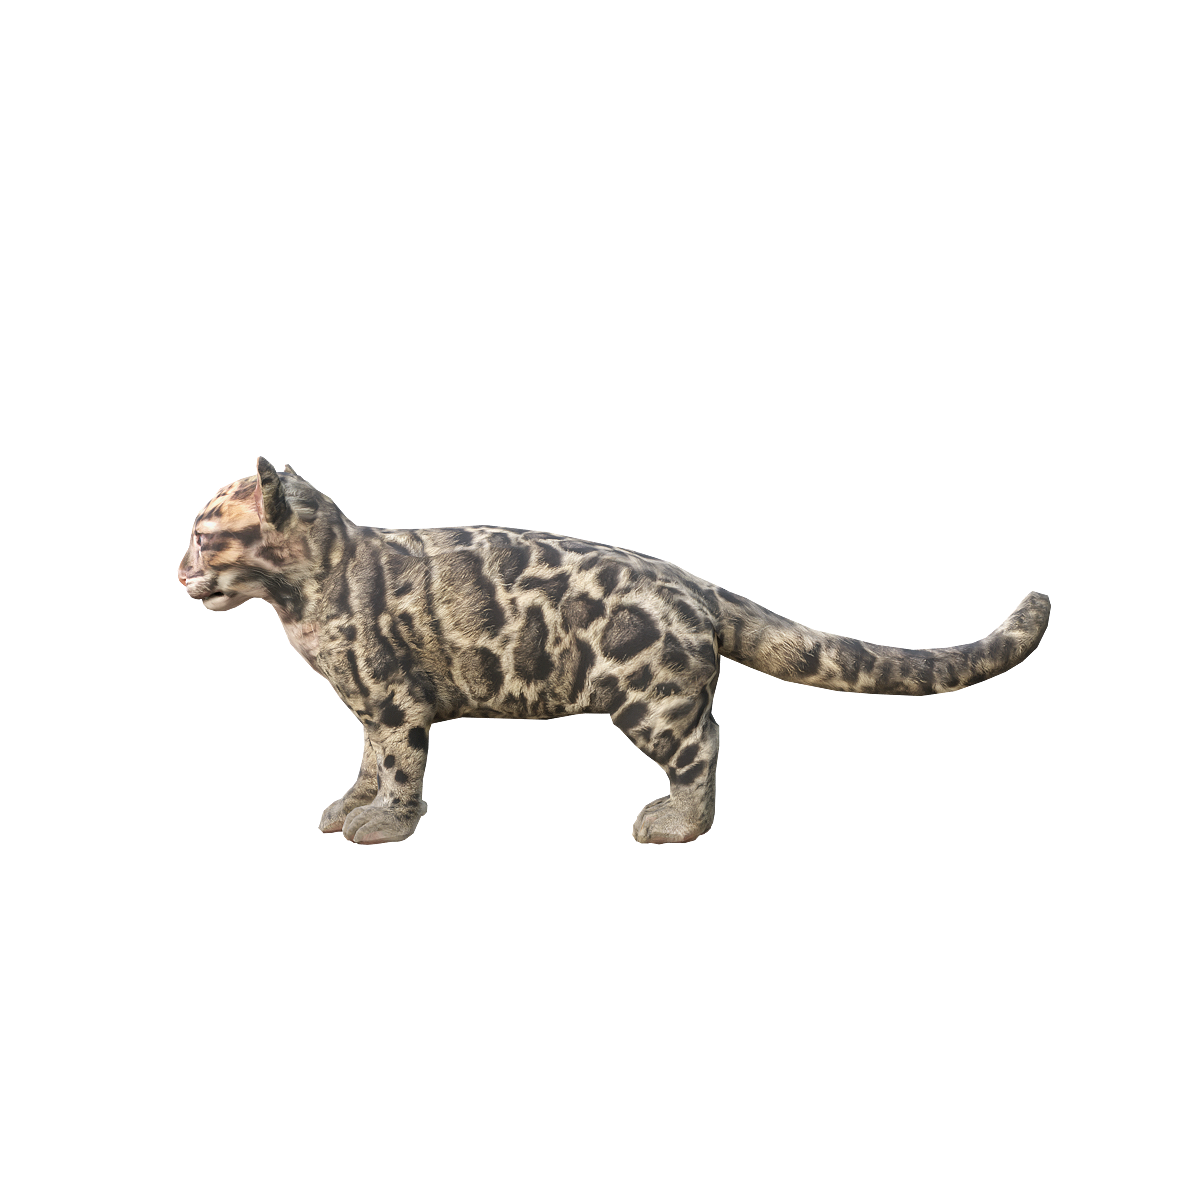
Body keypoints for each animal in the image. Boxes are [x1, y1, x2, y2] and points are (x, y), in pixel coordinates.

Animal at [179, 458, 1052, 844]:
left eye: (204, 533)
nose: (181, 565)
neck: (307, 585)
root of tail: (697, 586)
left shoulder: (395, 698)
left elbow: (398, 764)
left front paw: (388, 818)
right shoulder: (371, 702)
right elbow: (367, 758)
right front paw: (355, 799)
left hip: (647, 694)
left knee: (707, 742)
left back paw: (678, 821)